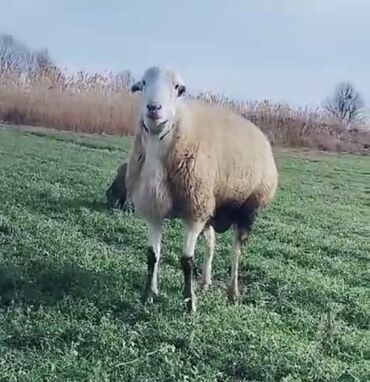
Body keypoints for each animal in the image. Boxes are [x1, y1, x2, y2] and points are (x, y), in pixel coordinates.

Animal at [125, 65, 278, 314]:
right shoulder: (155, 209)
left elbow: (186, 260)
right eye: (143, 83)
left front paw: (189, 302)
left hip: (247, 209)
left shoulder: (194, 211)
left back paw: (232, 292)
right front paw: (149, 294)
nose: (153, 108)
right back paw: (205, 282)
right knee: (211, 243)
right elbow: (152, 255)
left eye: (177, 88)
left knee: (236, 251)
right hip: (210, 207)